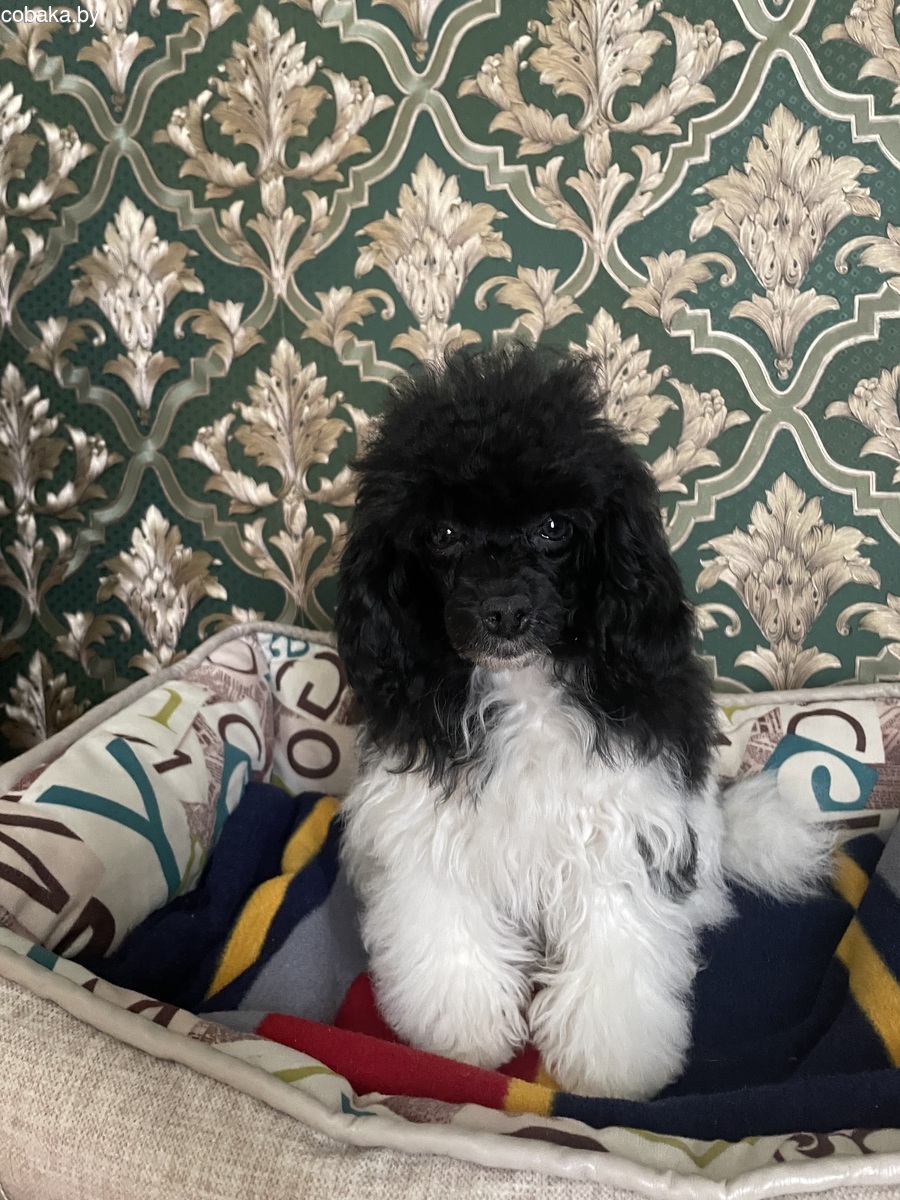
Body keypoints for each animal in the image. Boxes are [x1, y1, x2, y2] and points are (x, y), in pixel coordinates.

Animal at [335, 343, 832, 1100]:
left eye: (552, 528)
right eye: (443, 533)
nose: (505, 611)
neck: (525, 686)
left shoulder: (623, 829)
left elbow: (615, 958)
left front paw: (611, 1068)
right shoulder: (428, 829)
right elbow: (448, 943)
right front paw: (461, 1040)